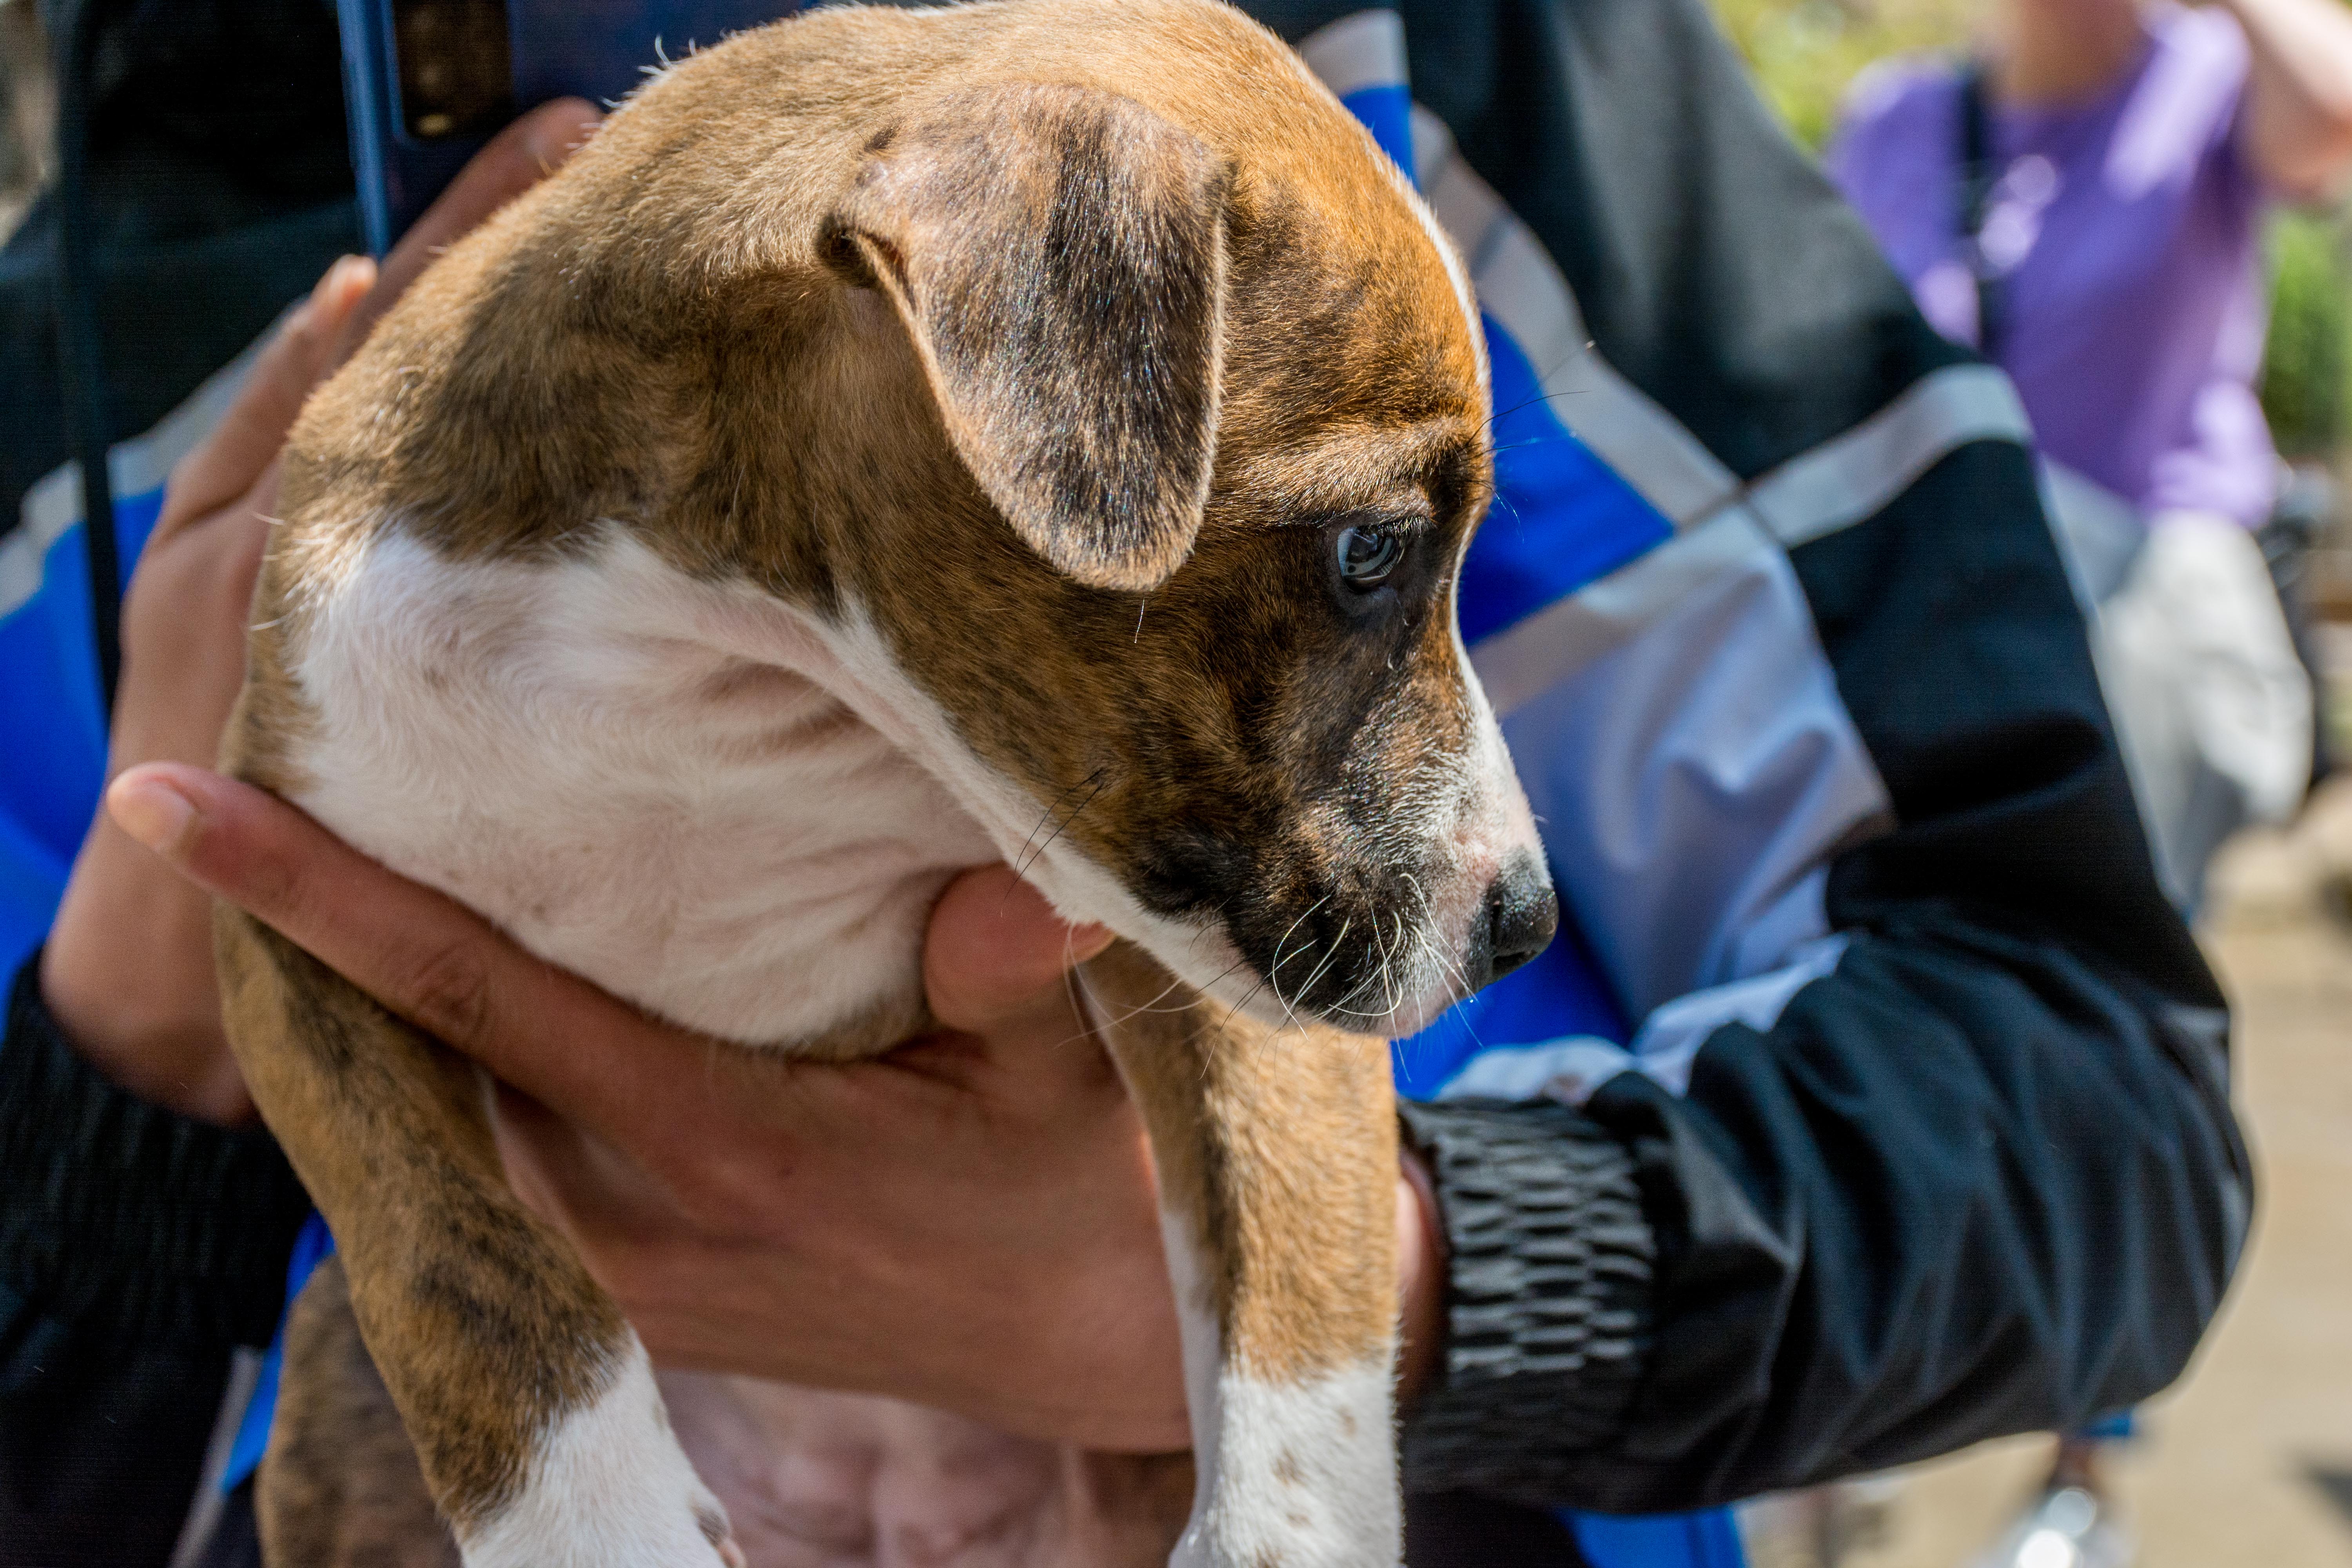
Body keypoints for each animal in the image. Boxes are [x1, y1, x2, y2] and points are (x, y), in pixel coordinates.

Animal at [216, 3, 1543, 1568]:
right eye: (1368, 550)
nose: (1525, 920)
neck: (718, 661)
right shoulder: (286, 909)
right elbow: (450, 1258)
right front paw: (595, 1527)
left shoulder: (1234, 968)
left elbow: (1285, 1281)